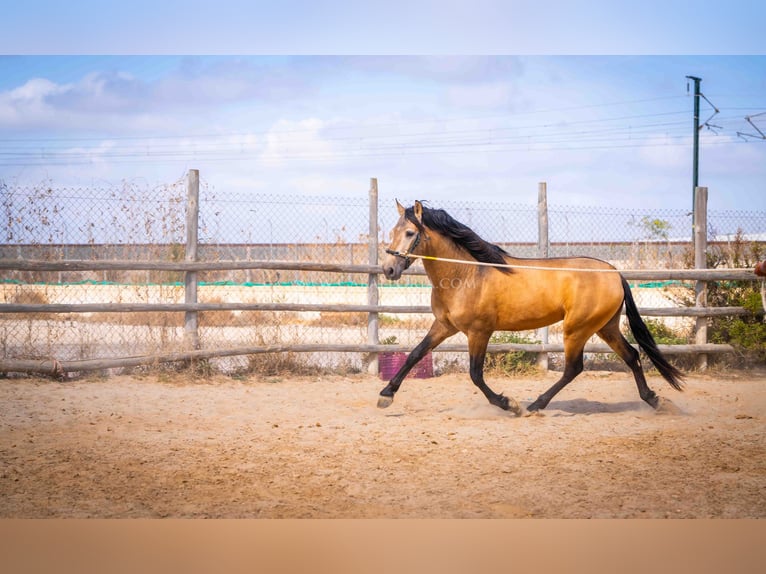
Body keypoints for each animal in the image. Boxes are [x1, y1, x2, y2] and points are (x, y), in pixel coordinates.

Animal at [378, 200, 684, 416]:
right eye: (392, 232)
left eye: (410, 233)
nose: (389, 269)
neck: (466, 274)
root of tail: (615, 273)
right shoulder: (444, 326)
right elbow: (415, 354)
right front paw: (386, 395)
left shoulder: (479, 332)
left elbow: (476, 375)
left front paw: (509, 403)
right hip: (605, 327)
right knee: (631, 355)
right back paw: (654, 400)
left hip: (577, 329)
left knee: (574, 368)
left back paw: (535, 405)